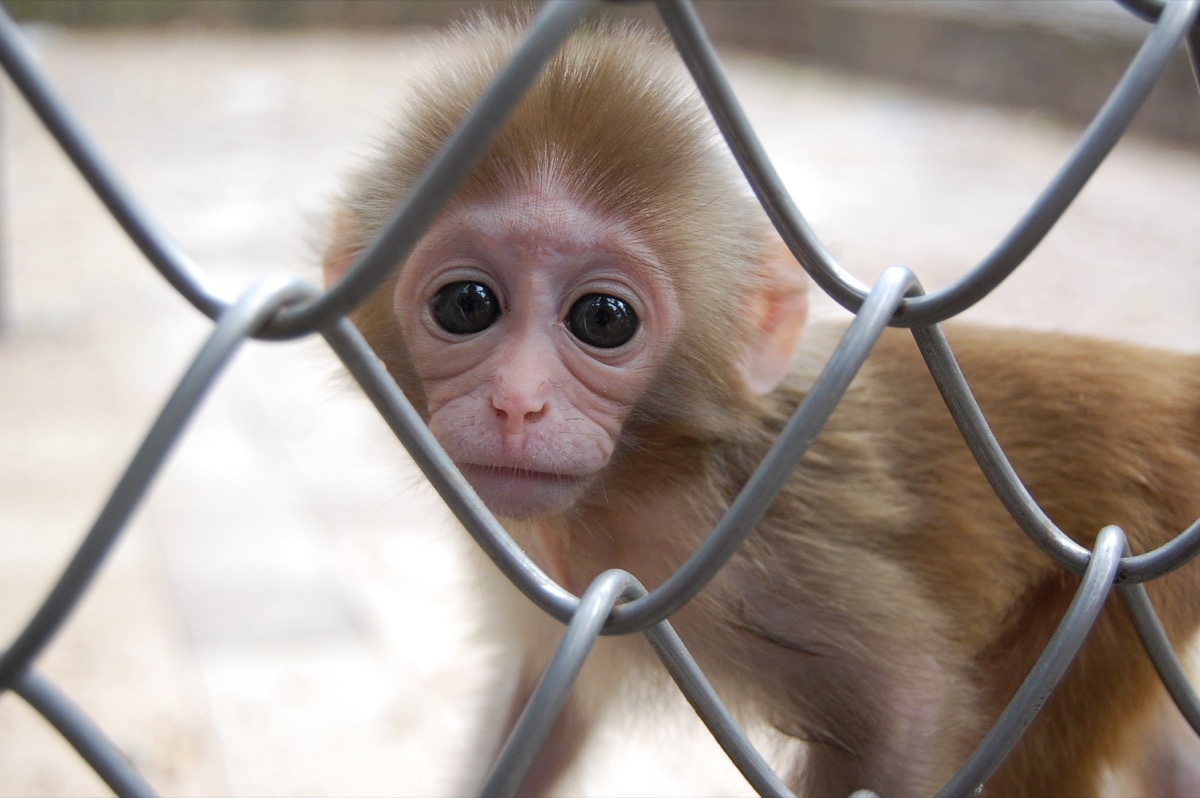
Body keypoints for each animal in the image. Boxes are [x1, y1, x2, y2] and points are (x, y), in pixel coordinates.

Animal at [321, 14, 1200, 796]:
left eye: (602, 320)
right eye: (466, 305)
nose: (517, 404)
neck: (639, 478)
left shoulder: (755, 547)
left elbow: (905, 711)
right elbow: (550, 712)